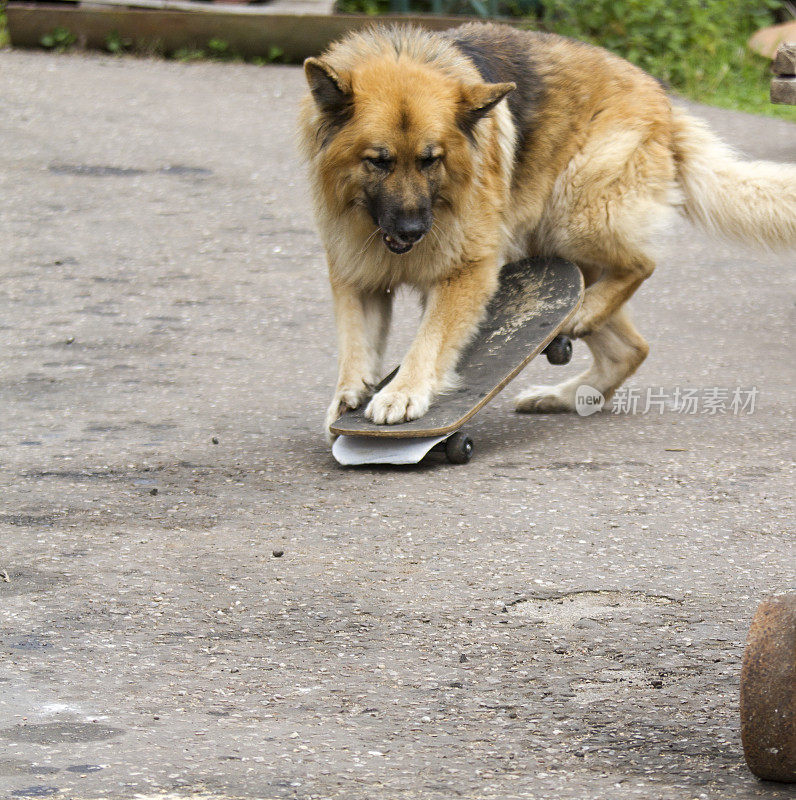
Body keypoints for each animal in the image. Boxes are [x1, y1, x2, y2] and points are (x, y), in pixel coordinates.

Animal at [300, 23, 796, 438]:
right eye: (378, 160)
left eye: (430, 160)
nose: (413, 230)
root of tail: (664, 102)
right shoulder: (357, 277)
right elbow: (355, 344)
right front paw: (348, 394)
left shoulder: (466, 271)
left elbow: (430, 340)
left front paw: (403, 393)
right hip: (559, 252)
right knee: (630, 348)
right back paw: (565, 393)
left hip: (574, 215)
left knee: (641, 263)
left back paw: (586, 316)